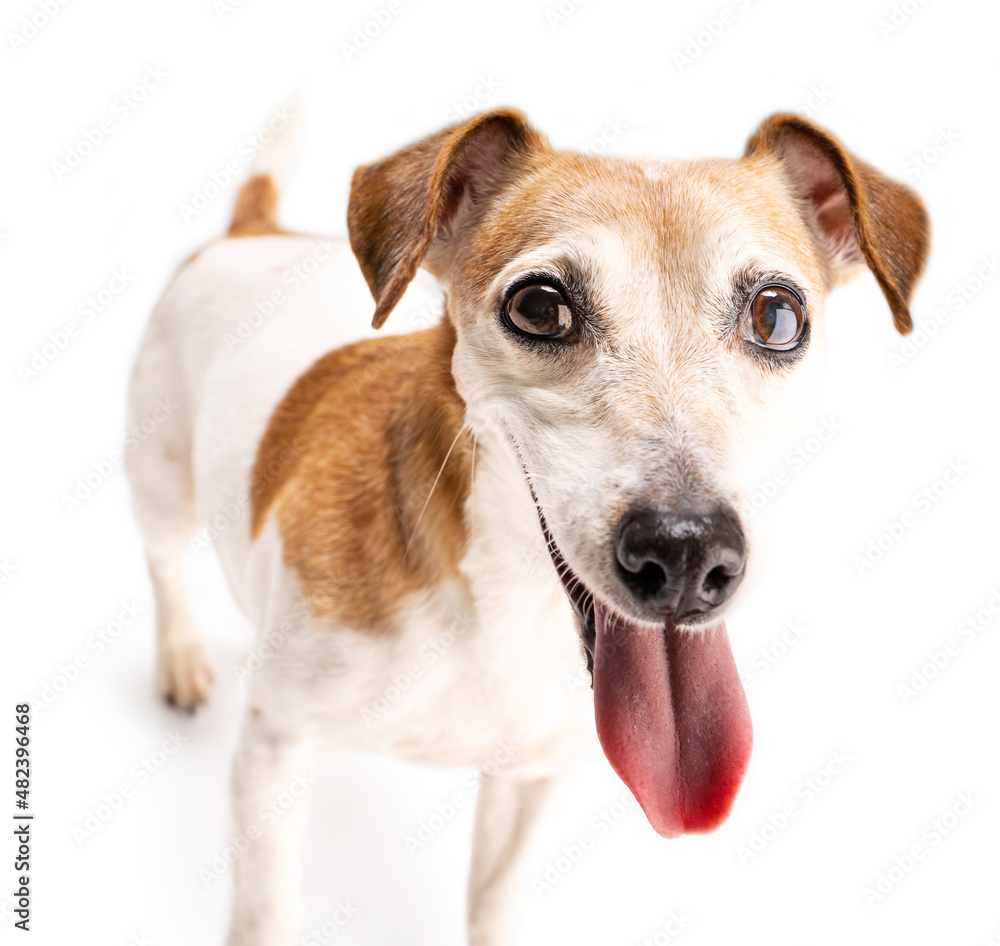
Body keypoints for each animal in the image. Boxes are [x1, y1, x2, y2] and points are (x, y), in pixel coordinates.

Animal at [125, 107, 928, 940]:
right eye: (540, 306)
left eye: (777, 315)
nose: (685, 554)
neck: (500, 605)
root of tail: (254, 229)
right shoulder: (273, 753)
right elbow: (268, 910)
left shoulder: (529, 780)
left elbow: (494, 900)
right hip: (159, 482)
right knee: (162, 561)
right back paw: (179, 659)